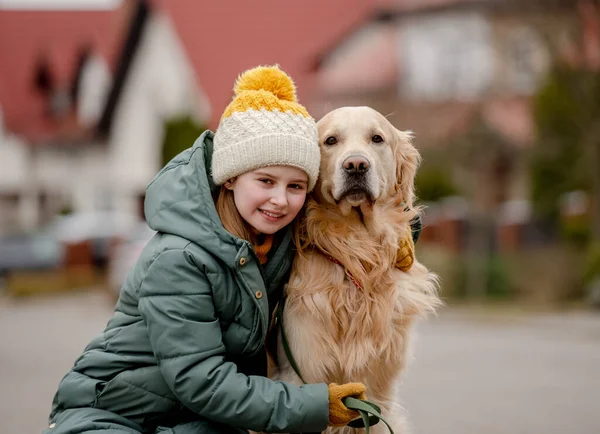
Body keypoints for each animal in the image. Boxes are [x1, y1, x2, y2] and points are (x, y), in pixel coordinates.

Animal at [274, 107, 438, 434]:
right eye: (330, 141)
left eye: (377, 138)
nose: (356, 165)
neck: (357, 255)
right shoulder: (302, 373)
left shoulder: (378, 392)